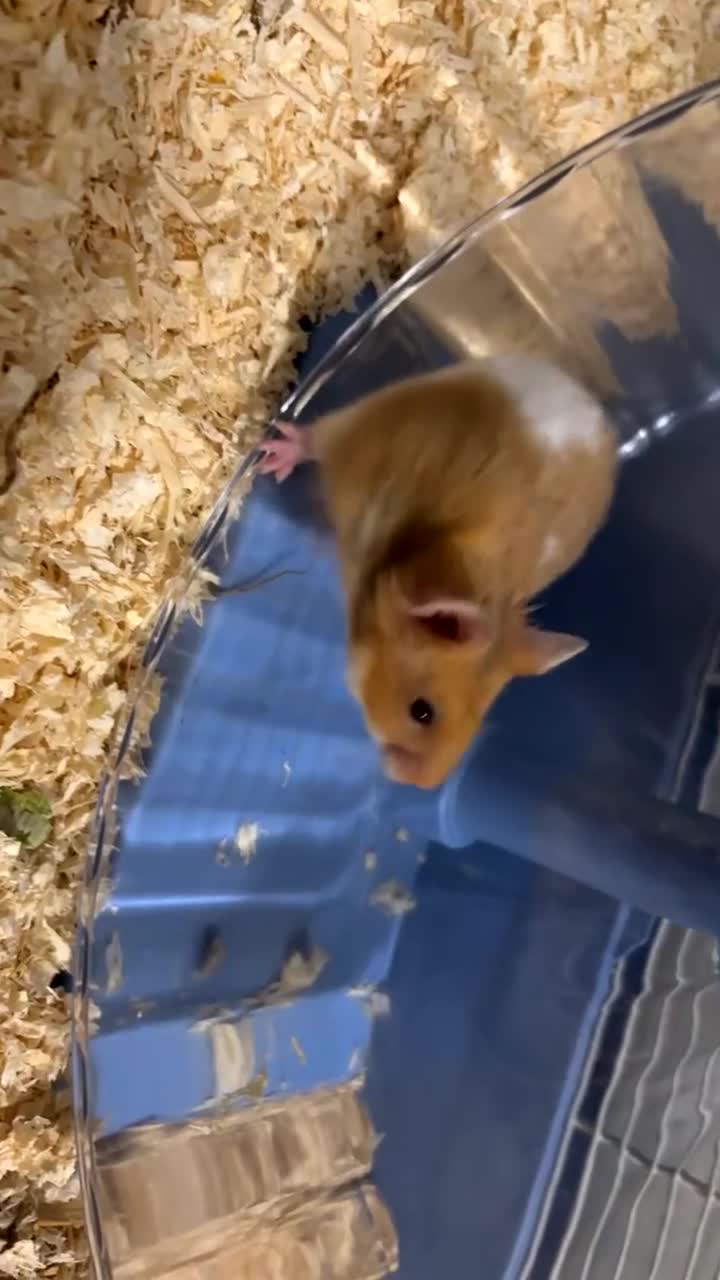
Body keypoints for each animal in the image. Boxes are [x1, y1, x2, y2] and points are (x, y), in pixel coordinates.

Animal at [258, 356, 617, 789]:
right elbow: (316, 441)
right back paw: (273, 453)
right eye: (422, 712)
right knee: (316, 435)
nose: (416, 783)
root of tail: (586, 399)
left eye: (480, 719)